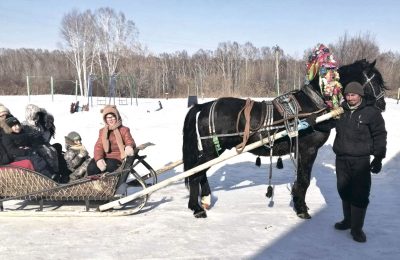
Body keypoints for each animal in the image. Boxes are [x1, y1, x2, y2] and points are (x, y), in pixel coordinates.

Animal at [183, 59, 386, 217]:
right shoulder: (308, 150)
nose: (383, 104)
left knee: (200, 172)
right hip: (212, 149)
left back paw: (205, 199)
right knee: (195, 173)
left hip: (211, 150)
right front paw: (302, 209)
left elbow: (300, 180)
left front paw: (299, 202)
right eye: (375, 81)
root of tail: (204, 105)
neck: (314, 104)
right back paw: (196, 207)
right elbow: (304, 180)